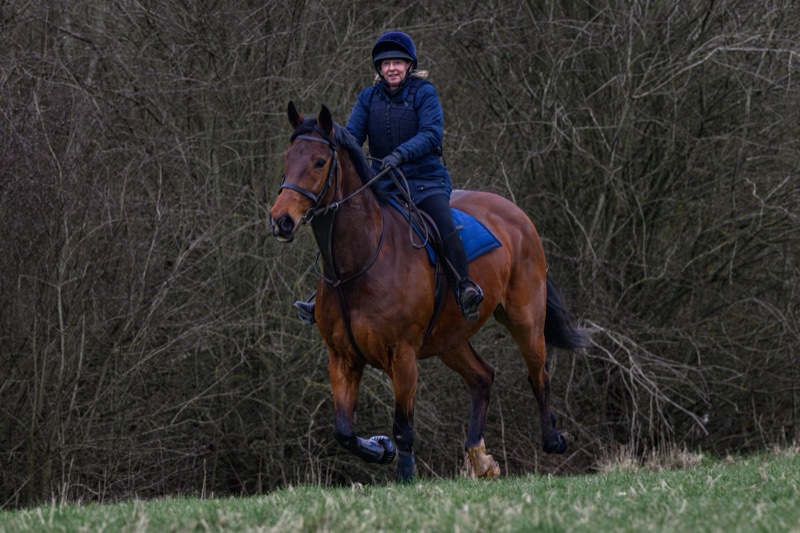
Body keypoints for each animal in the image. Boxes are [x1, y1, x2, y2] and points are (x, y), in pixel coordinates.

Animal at [268, 102, 589, 482]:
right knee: (482, 378)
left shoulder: (402, 355)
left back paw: (554, 439)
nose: (280, 220)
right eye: (288, 158)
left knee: (538, 374)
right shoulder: (342, 358)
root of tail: (516, 214)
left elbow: (403, 427)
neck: (357, 264)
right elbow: (344, 432)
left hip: (525, 319)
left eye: (319, 162)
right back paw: (480, 458)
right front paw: (380, 448)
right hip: (449, 339)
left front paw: (406, 475)